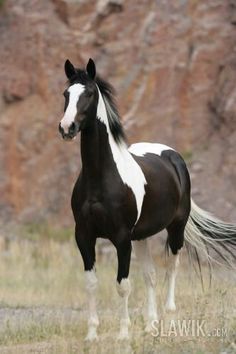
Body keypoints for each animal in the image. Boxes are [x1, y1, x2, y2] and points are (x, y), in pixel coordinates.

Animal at [58, 59, 236, 342]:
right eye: (66, 94)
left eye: (89, 94)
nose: (66, 128)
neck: (101, 177)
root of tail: (174, 156)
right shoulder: (84, 235)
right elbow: (92, 283)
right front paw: (92, 335)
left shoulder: (121, 238)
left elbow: (123, 285)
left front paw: (123, 335)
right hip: (140, 237)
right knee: (150, 275)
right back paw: (151, 325)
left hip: (176, 228)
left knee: (172, 267)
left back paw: (170, 319)